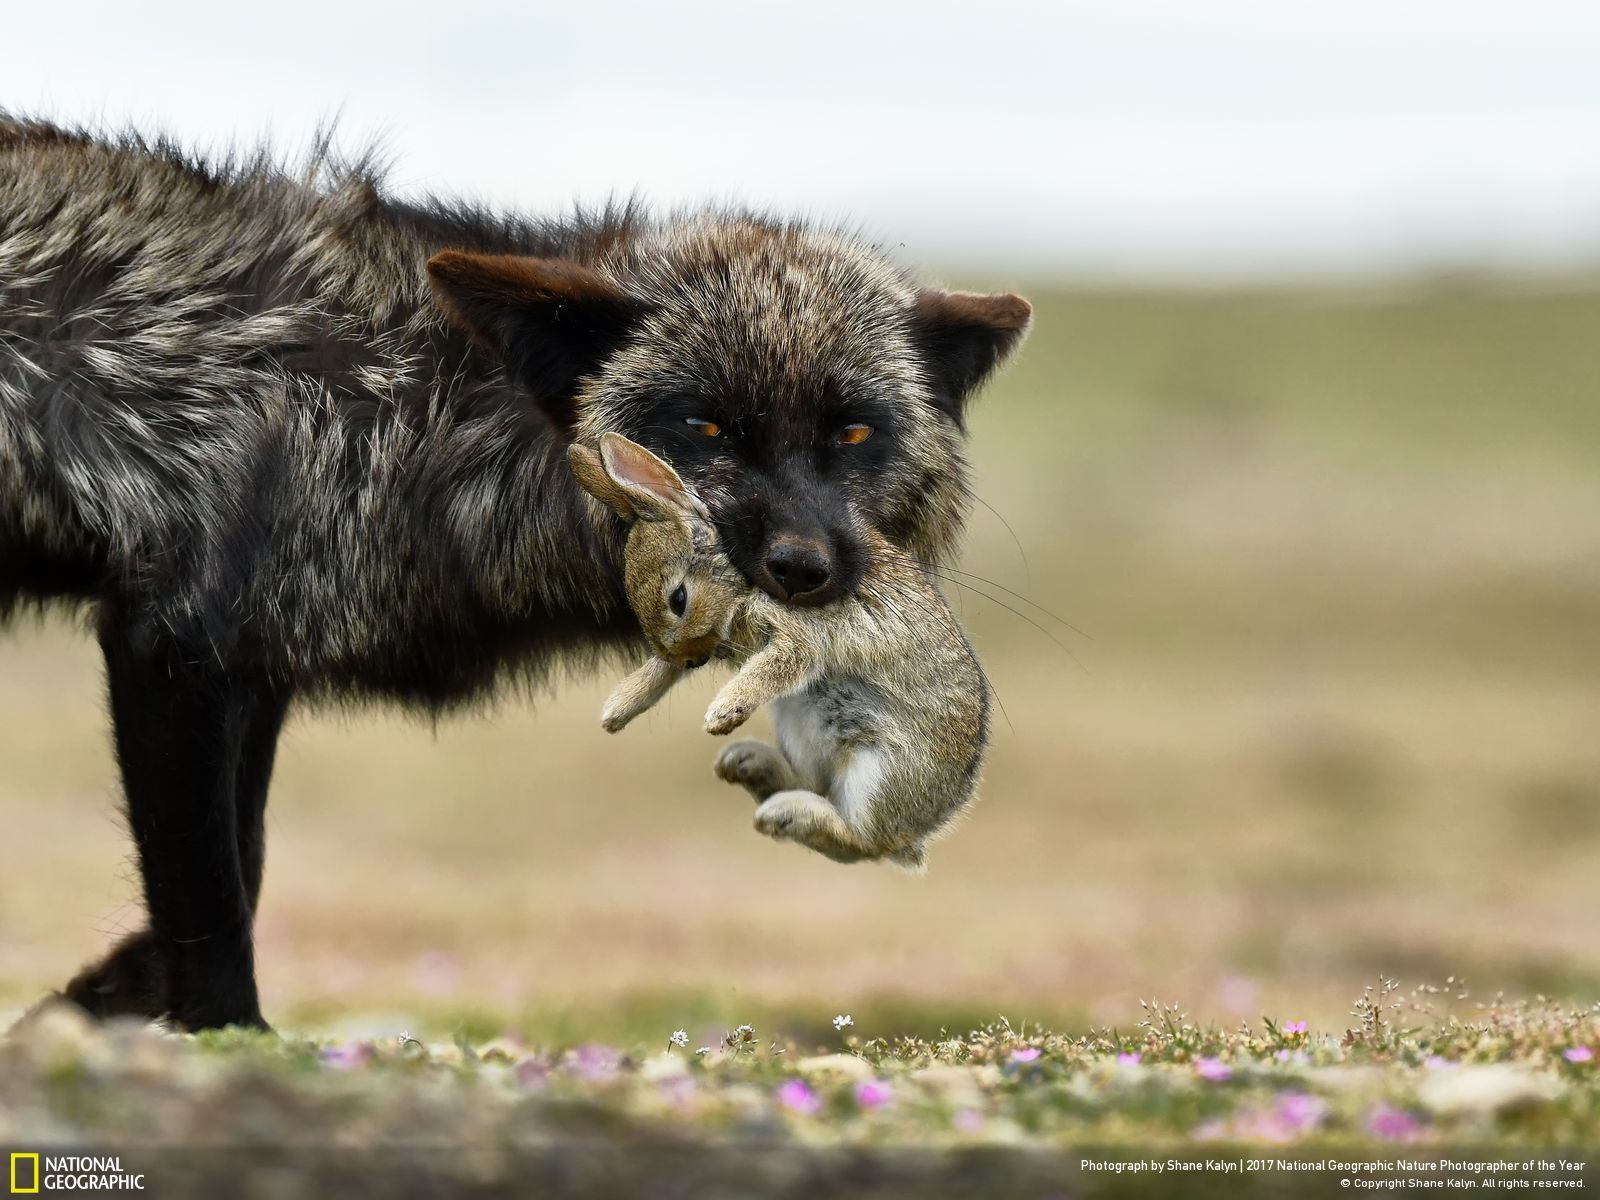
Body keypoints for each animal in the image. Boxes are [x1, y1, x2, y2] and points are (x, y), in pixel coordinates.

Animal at [563, 438, 985, 870]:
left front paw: (722, 713)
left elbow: (776, 665)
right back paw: (748, 766)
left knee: (859, 842)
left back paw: (782, 812)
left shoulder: (797, 637)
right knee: (818, 789)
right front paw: (617, 709)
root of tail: (922, 828)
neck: (741, 580)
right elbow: (664, 669)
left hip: (878, 774)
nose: (692, 659)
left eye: (678, 599)